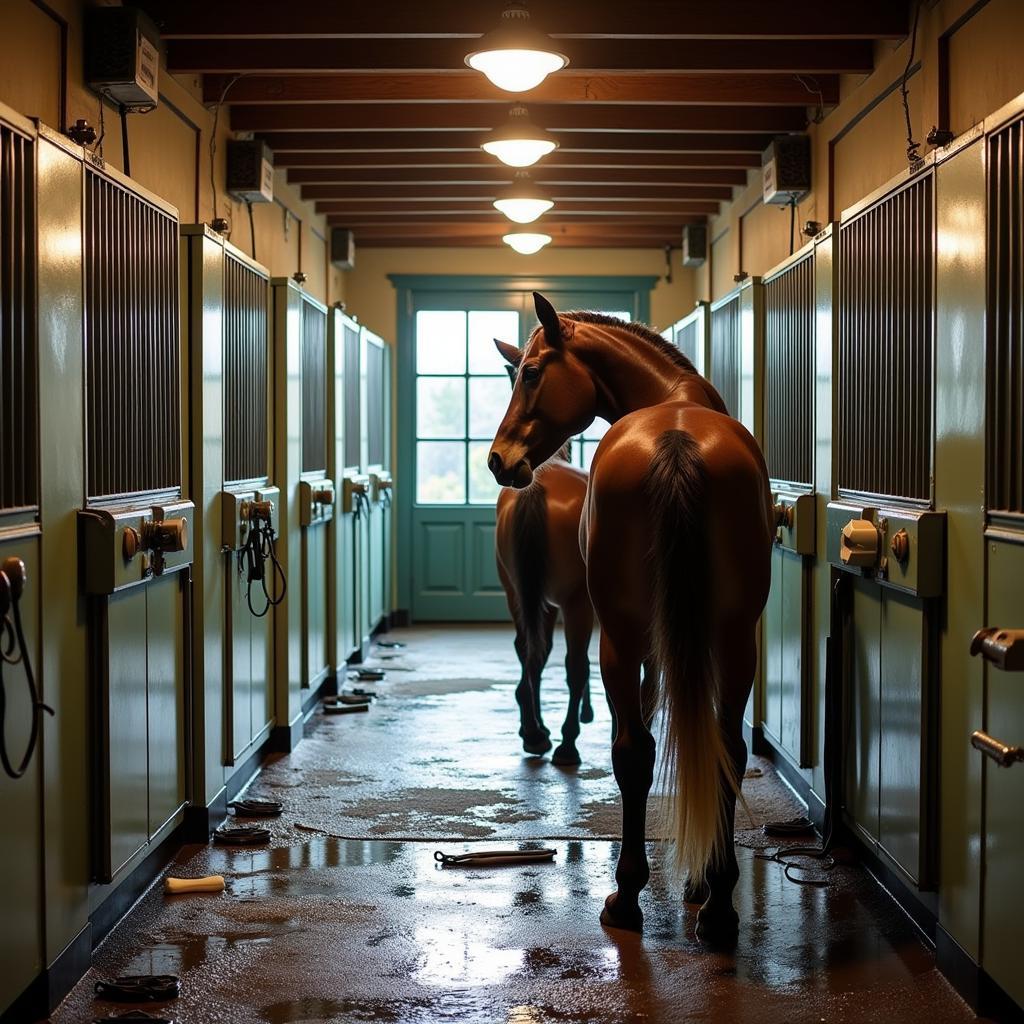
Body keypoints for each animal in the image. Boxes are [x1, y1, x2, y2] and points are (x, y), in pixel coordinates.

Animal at [493, 448, 598, 770]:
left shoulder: (543, 603)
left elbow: (539, 653)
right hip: (577, 602)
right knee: (576, 665)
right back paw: (568, 745)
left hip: (517, 594)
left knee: (528, 650)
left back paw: (533, 732)